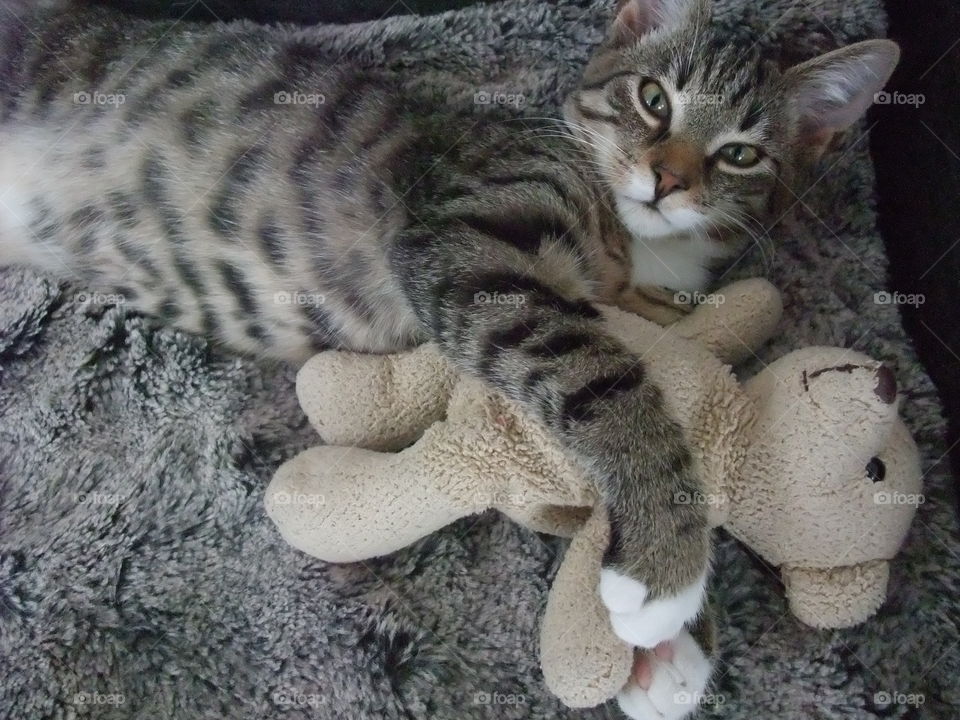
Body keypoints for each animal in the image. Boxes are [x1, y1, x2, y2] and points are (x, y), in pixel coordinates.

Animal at [1, 0, 900, 716]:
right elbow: (607, 380)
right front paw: (666, 572)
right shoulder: (466, 251)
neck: (637, 248)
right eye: (653, 99)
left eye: (741, 153)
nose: (667, 181)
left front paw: (670, 653)